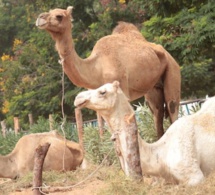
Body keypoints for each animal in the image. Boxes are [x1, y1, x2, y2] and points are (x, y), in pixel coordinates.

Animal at [36, 6, 181, 139]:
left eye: (59, 16)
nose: (40, 18)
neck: (97, 67)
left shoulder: (122, 88)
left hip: (172, 69)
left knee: (172, 108)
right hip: (153, 87)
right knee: (158, 112)